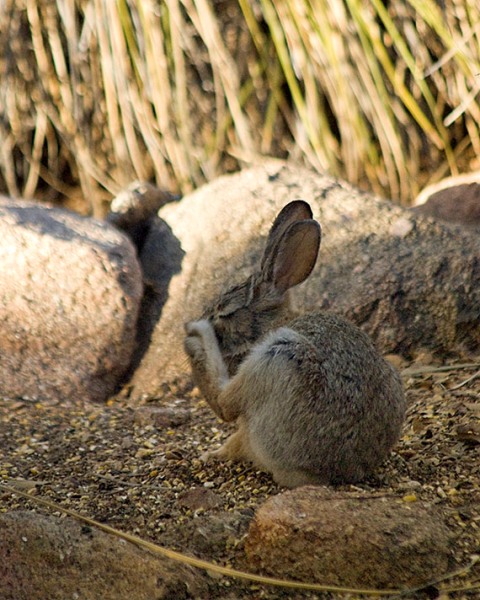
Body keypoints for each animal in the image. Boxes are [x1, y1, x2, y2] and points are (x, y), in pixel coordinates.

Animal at [184, 199, 404, 486]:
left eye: (226, 314)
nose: (203, 318)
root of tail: (337, 471)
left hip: (277, 358)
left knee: (225, 405)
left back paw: (197, 338)